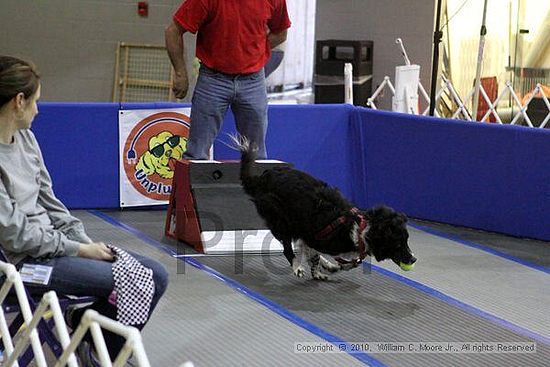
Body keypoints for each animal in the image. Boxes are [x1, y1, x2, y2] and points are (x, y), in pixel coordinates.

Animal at [238, 139, 418, 282]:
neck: (360, 230)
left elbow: (314, 254)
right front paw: (312, 268)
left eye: (407, 240)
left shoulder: (310, 235)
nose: (413, 259)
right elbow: (309, 252)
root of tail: (262, 178)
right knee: (287, 248)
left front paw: (321, 269)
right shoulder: (310, 234)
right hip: (281, 219)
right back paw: (298, 267)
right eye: (398, 243)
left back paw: (327, 265)